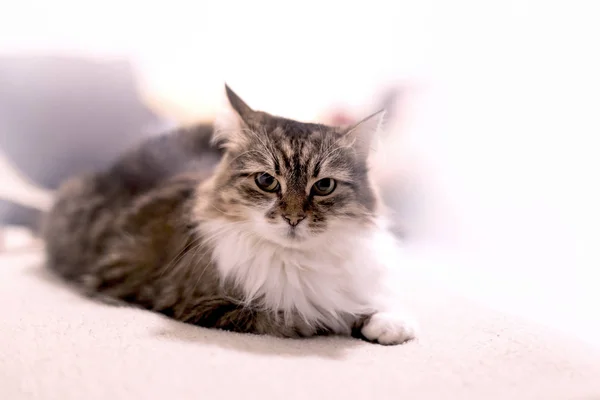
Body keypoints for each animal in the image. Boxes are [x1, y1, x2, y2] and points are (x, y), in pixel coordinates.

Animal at [43, 84, 418, 344]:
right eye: (266, 181)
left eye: (324, 186)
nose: (293, 218)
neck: (295, 260)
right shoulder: (202, 304)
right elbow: (295, 316)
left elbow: (361, 302)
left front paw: (388, 323)